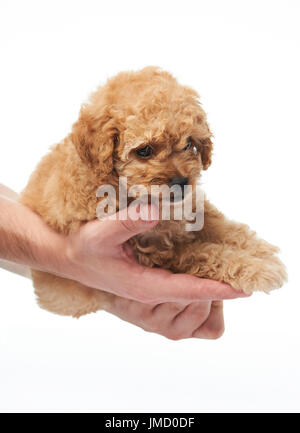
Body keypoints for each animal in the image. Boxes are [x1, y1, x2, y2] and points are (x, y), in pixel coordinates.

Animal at [19, 67, 288, 318]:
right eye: (145, 150)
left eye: (188, 143)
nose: (182, 181)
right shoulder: (154, 250)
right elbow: (203, 253)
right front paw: (257, 268)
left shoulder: (190, 209)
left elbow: (223, 227)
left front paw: (259, 250)